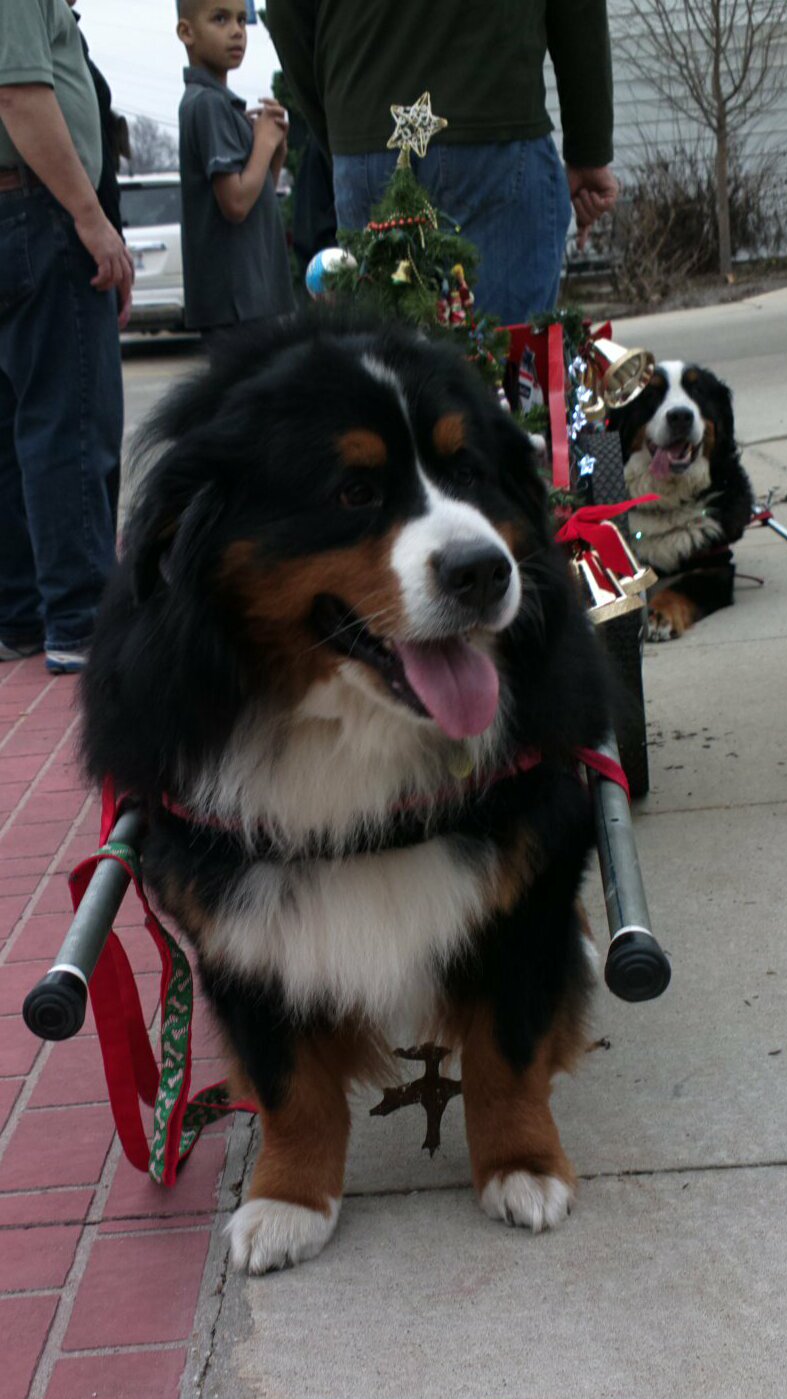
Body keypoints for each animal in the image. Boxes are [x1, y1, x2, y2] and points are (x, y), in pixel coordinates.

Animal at [80, 311, 609, 1275]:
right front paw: (289, 1199)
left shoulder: (528, 877)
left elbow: (506, 1049)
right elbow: (289, 1083)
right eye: (353, 490)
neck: (352, 736)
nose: (483, 570)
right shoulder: (235, 920)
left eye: (469, 472)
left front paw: (521, 1164)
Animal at [609, 363, 749, 640]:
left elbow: (683, 588)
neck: (665, 500)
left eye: (697, 391)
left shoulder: (715, 564)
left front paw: (659, 615)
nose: (681, 416)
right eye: (651, 393)